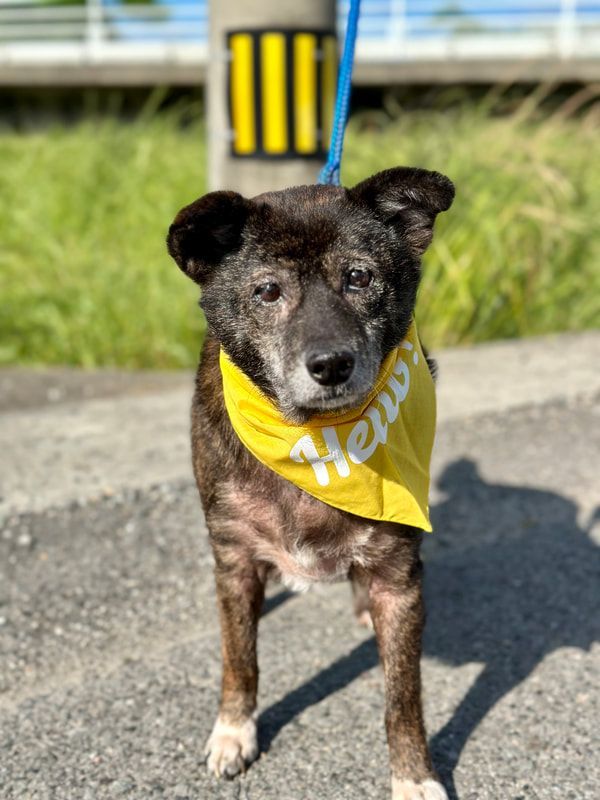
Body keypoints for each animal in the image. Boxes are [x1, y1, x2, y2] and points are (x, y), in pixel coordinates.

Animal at [166, 166, 452, 796]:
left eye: (359, 277)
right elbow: (239, 659)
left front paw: (413, 776)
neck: (315, 442)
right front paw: (233, 732)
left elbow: (403, 697)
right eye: (267, 291)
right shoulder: (234, 556)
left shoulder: (400, 577)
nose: (331, 364)